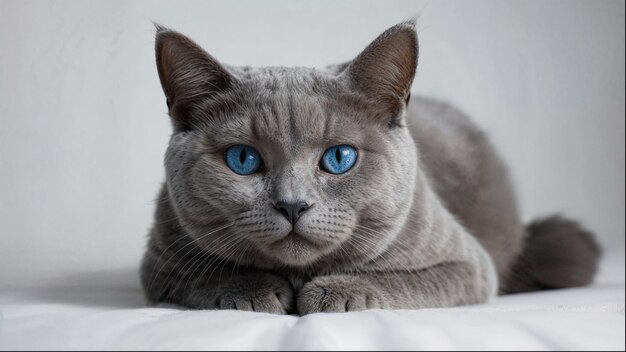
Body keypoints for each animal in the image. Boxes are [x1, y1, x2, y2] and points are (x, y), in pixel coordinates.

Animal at [141, 21, 600, 314]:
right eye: (243, 159)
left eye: (339, 158)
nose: (292, 205)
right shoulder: (160, 264)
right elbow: (201, 278)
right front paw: (253, 290)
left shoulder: (468, 265)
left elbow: (403, 279)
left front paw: (335, 291)